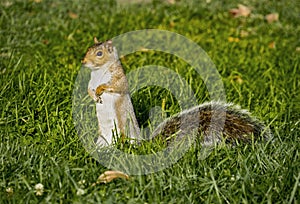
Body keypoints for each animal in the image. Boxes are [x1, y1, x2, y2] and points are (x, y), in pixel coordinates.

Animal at [82, 37, 272, 147]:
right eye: (88, 49)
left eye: (99, 53)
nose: (83, 62)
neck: (98, 72)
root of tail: (141, 142)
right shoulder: (91, 80)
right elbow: (89, 87)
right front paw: (93, 94)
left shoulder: (118, 78)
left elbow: (116, 86)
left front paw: (100, 89)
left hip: (121, 130)